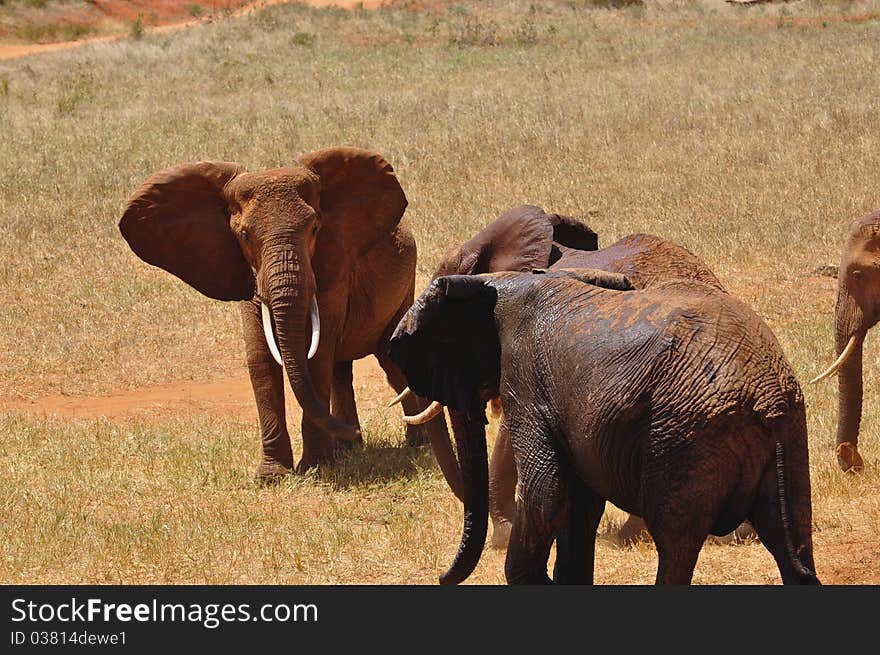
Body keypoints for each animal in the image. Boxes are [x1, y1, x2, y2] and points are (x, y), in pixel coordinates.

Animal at [121, 147, 464, 498]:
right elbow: (260, 358)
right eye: (244, 236)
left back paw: (410, 444)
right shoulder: (244, 274)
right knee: (342, 370)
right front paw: (272, 476)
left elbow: (317, 356)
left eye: (314, 229)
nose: (350, 434)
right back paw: (349, 448)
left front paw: (316, 468)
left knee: (389, 362)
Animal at [388, 270, 820, 588]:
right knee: (790, 542)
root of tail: (766, 395)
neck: (499, 281)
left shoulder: (526, 383)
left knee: (675, 545)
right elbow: (581, 505)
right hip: (789, 436)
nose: (440, 577)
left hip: (685, 436)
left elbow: (547, 494)